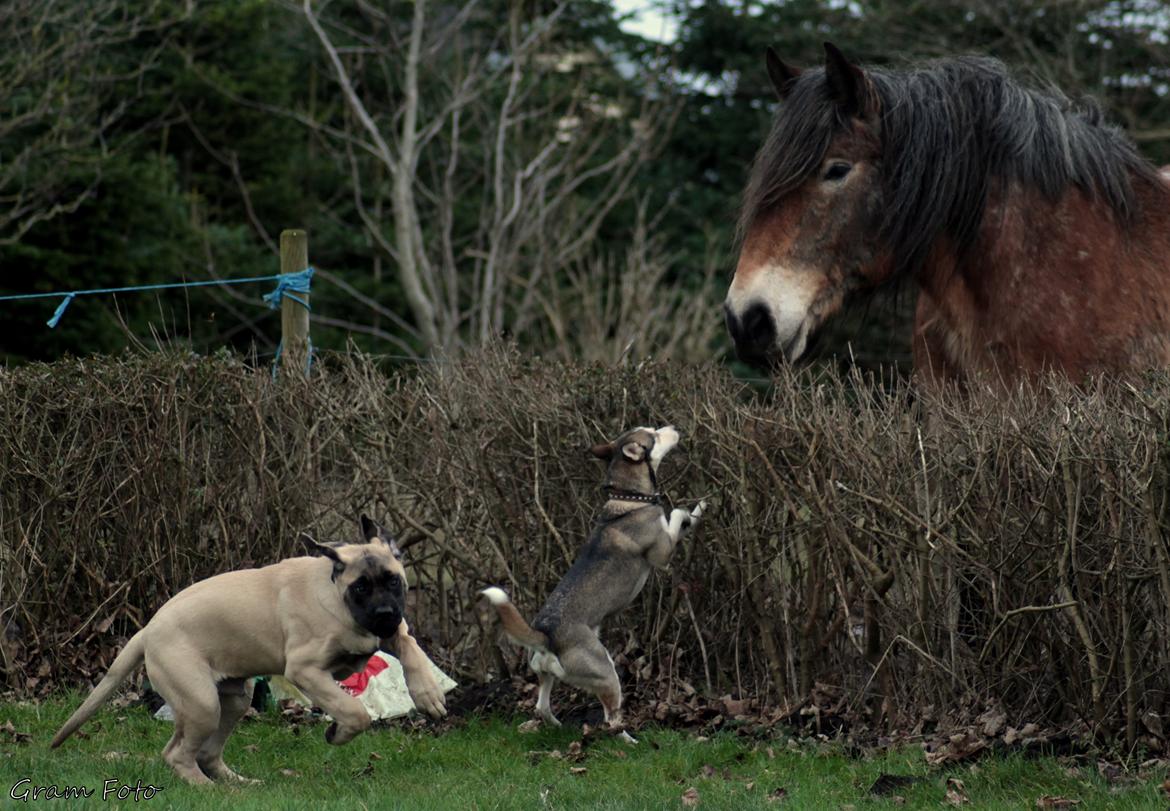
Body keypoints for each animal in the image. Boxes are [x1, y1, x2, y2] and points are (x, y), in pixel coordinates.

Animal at [50, 512, 444, 786]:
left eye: (393, 581)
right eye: (360, 587)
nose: (384, 613)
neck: (336, 596)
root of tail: (147, 631)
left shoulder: (389, 633)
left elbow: (410, 647)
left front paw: (428, 694)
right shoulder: (305, 670)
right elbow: (354, 711)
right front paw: (338, 733)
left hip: (232, 699)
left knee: (202, 751)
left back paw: (236, 783)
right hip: (202, 702)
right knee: (177, 753)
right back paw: (204, 788)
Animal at [477, 425, 697, 734]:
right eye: (654, 435)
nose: (674, 428)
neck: (630, 499)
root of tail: (547, 635)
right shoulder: (661, 553)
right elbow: (675, 515)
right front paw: (691, 512)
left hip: (547, 675)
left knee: (542, 707)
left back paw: (556, 724)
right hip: (606, 672)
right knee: (610, 719)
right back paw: (628, 738)